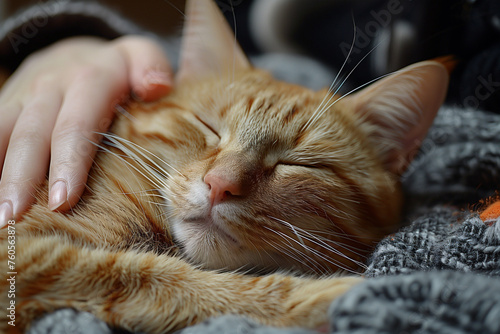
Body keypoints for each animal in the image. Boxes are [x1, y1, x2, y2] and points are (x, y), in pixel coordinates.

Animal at [0, 0, 448, 332]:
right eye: (209, 128)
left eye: (299, 164)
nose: (219, 185)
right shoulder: (24, 254)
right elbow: (162, 279)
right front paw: (323, 300)